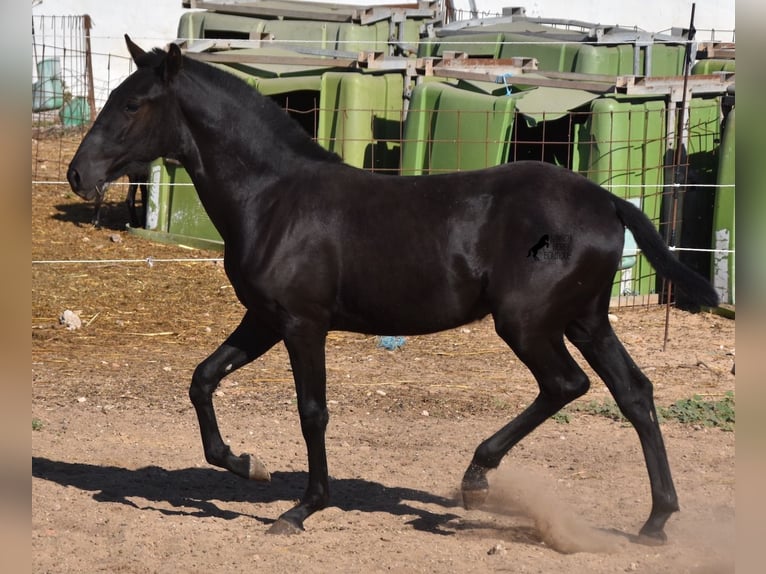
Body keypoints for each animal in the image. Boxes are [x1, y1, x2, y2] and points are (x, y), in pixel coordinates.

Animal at [66, 37, 720, 544]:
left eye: (133, 104)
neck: (273, 198)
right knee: (634, 393)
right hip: (585, 318)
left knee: (566, 384)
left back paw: (477, 480)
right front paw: (247, 465)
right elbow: (203, 379)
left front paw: (303, 508)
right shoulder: (264, 318)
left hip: (528, 322)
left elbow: (312, 411)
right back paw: (656, 521)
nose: (78, 174)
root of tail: (609, 201)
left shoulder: (302, 322)